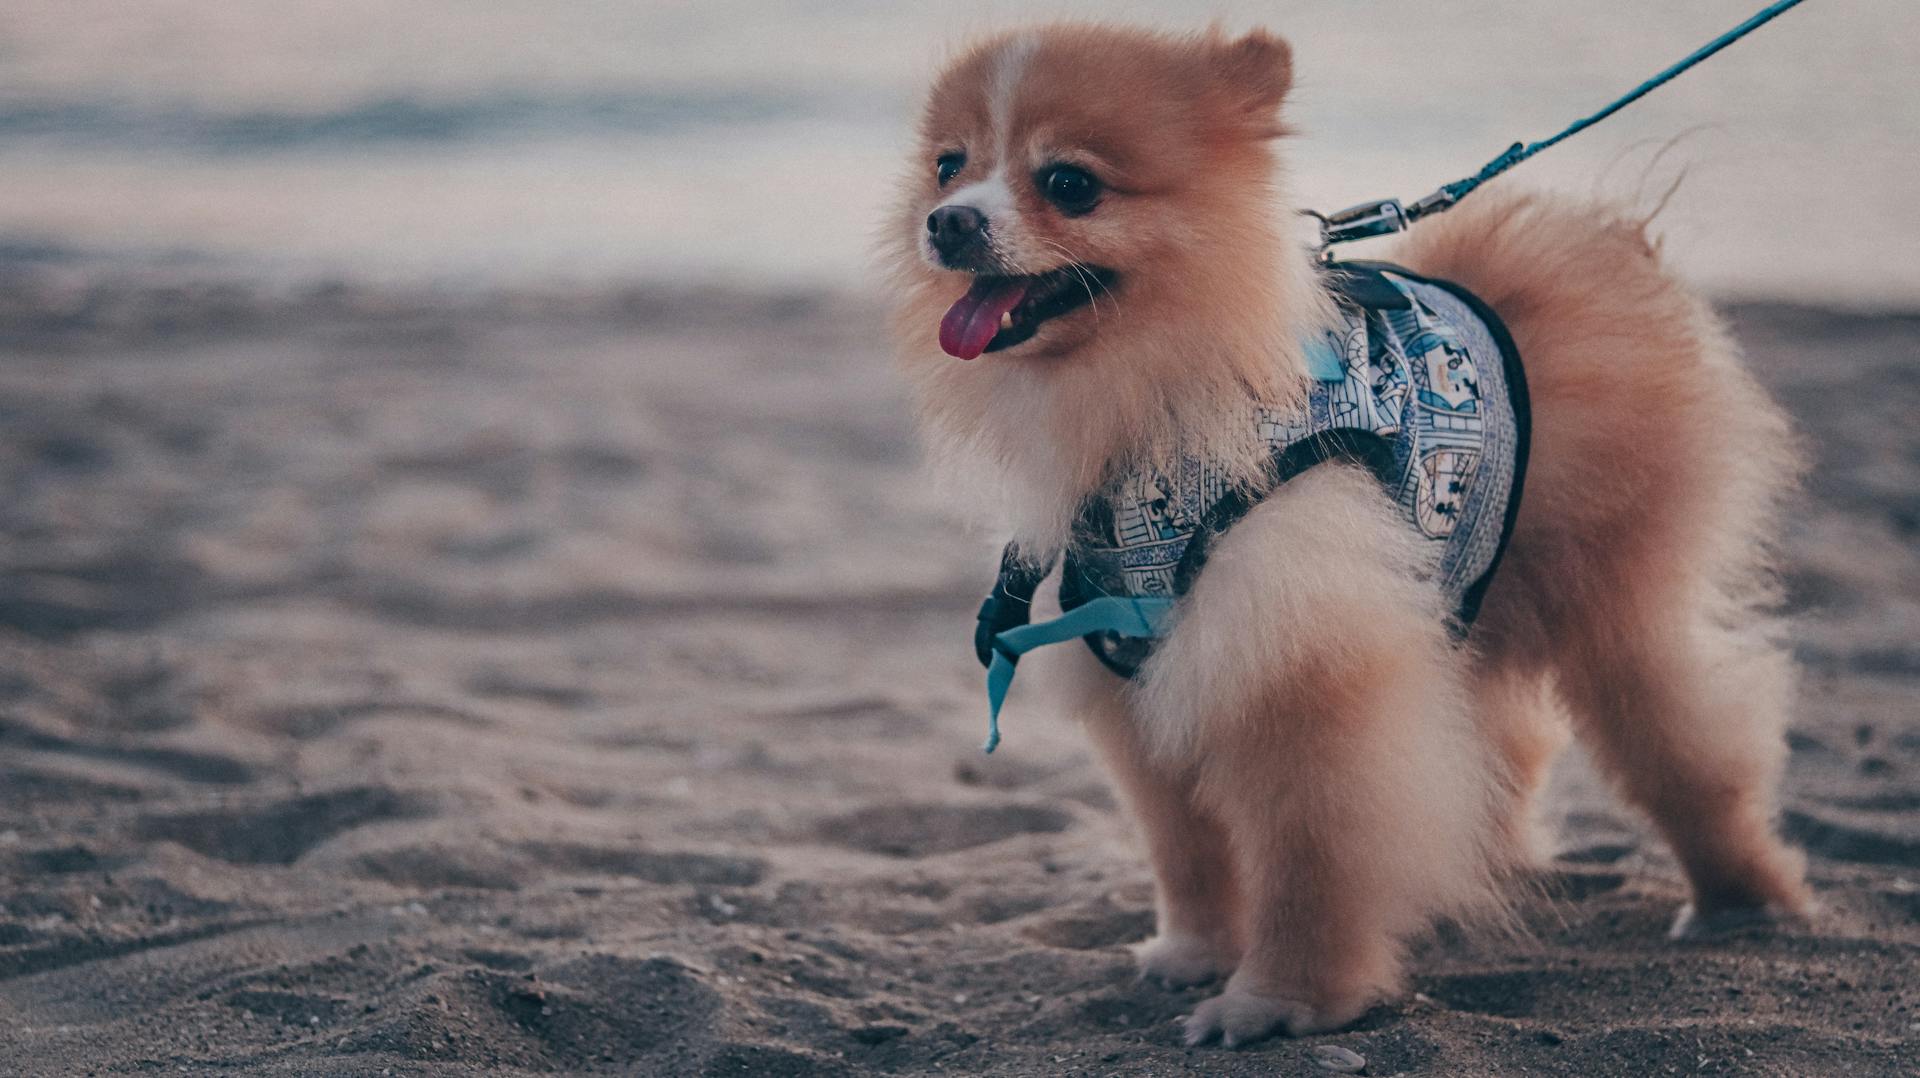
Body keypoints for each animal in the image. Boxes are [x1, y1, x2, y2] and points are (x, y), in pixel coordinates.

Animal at [883, 21, 1812, 1045]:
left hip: (1613, 605)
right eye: (948, 166)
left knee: (1687, 735)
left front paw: (1277, 1001)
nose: (949, 222)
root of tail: (1604, 245)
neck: (1161, 396)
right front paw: (1196, 952)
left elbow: (1310, 858)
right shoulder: (1135, 662)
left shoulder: (1302, 665)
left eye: (1069, 183)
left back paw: (1743, 898)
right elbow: (1186, 843)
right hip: (1464, 597)